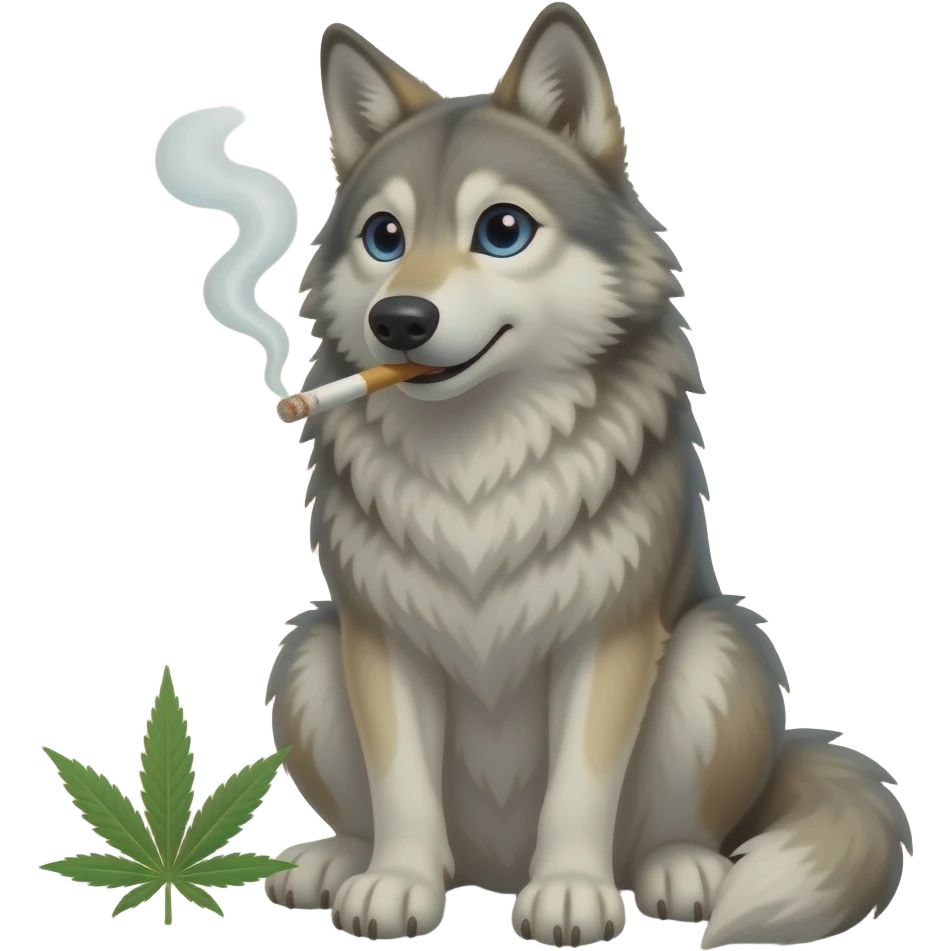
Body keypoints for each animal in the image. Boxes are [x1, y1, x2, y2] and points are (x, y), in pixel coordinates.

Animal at [262, 4, 911, 946]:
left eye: (502, 230)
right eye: (384, 237)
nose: (399, 320)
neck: (479, 457)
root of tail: (492, 868)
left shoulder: (609, 637)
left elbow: (580, 784)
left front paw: (570, 891)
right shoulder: (382, 639)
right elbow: (401, 785)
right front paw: (396, 883)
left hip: (720, 648)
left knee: (673, 827)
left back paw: (680, 870)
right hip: (310, 648)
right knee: (372, 806)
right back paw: (340, 858)